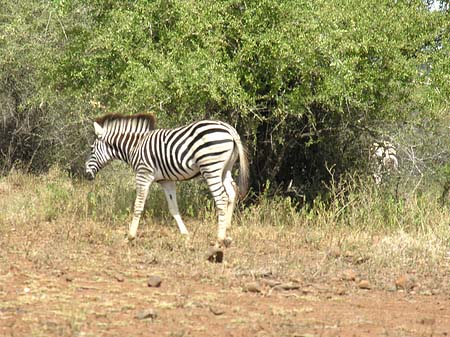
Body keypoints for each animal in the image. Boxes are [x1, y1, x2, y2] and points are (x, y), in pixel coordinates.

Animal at [84, 111, 250, 245]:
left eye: (91, 149)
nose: (86, 174)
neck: (135, 147)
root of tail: (228, 128)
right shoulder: (166, 181)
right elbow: (173, 207)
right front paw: (185, 234)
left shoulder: (143, 174)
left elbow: (138, 205)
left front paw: (130, 236)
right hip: (225, 169)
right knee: (232, 192)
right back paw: (227, 229)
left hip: (211, 168)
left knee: (221, 198)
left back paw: (219, 238)